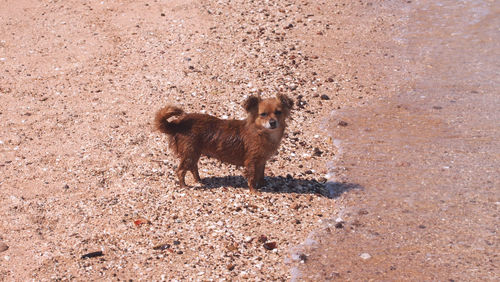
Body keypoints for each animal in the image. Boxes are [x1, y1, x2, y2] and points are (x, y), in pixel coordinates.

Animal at [153, 94, 292, 194]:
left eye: (278, 112)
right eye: (263, 114)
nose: (272, 122)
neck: (261, 133)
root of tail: (178, 124)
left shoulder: (261, 161)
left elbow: (261, 174)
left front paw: (263, 184)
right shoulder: (251, 162)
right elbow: (252, 177)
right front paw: (254, 191)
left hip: (194, 153)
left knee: (193, 167)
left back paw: (199, 180)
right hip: (189, 154)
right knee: (181, 170)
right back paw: (184, 186)